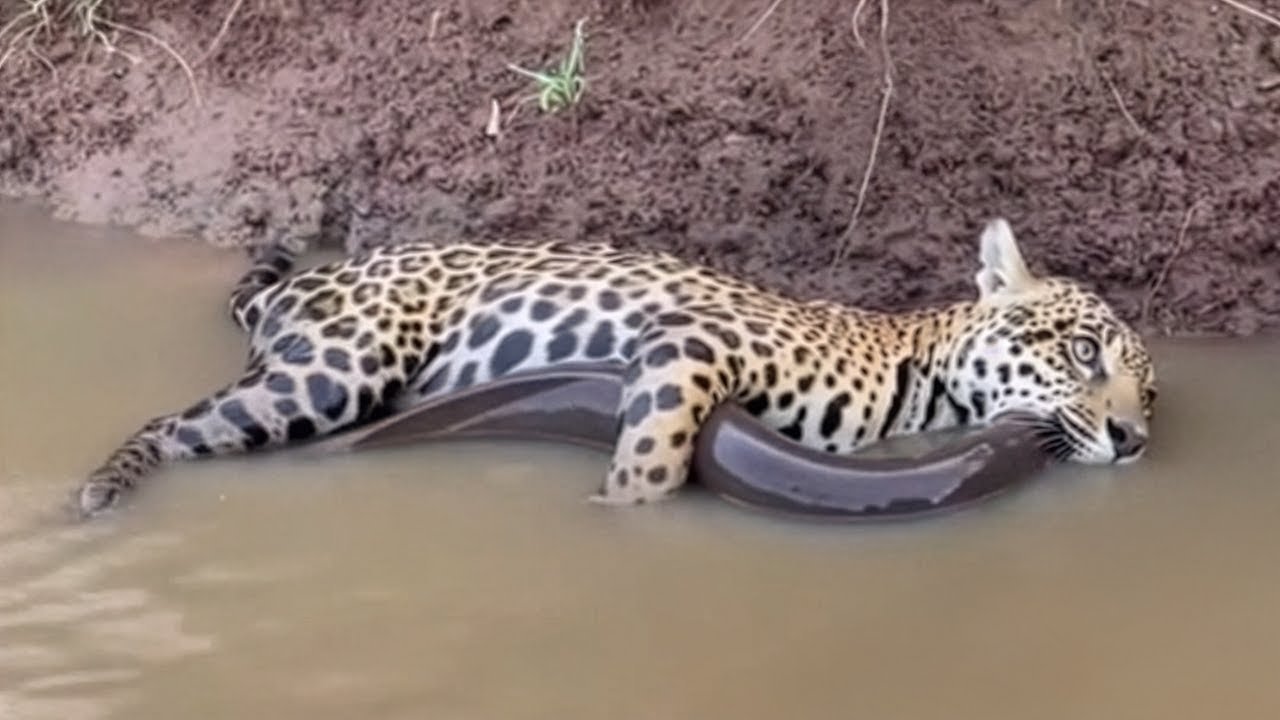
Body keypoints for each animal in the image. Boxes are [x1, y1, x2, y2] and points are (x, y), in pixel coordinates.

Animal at [73, 218, 1157, 517]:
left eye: (1149, 392)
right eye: (1082, 349)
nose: (1134, 437)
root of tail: (315, 279)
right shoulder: (688, 342)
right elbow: (656, 453)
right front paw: (621, 515)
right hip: (338, 368)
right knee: (174, 426)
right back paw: (100, 491)